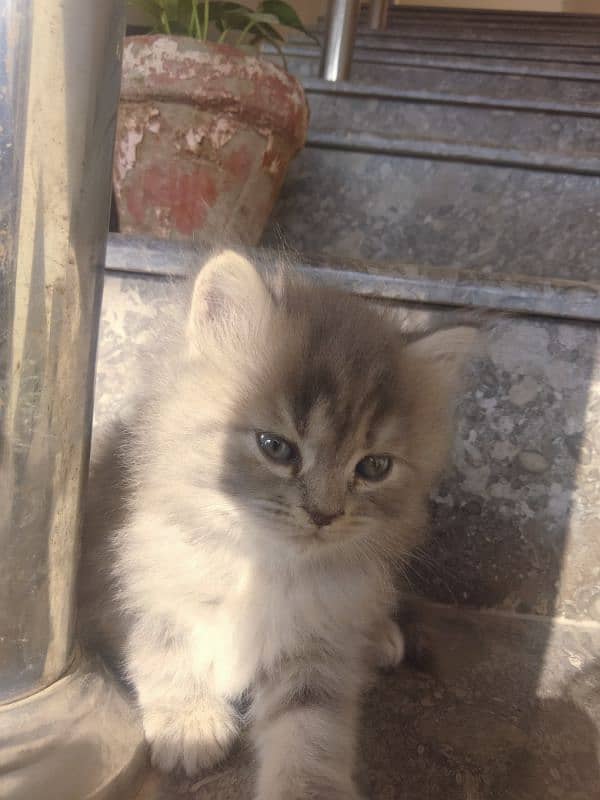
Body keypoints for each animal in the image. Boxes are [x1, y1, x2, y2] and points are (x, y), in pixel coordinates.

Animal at [81, 248, 478, 792]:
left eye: (374, 467)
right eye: (276, 447)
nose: (324, 513)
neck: (261, 567)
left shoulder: (316, 649)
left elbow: (310, 732)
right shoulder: (138, 582)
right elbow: (163, 652)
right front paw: (190, 725)